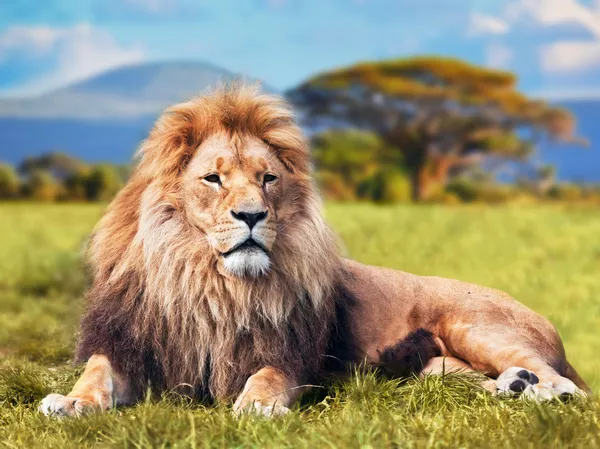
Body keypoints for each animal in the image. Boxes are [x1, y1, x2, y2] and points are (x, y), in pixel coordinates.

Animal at [39, 83, 588, 416]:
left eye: (268, 179)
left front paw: (257, 407)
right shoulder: (130, 345)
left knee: (569, 385)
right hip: (436, 369)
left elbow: (265, 378)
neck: (210, 283)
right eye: (213, 179)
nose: (252, 216)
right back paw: (513, 387)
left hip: (473, 324)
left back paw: (539, 390)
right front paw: (69, 403)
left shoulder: (288, 355)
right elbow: (96, 374)